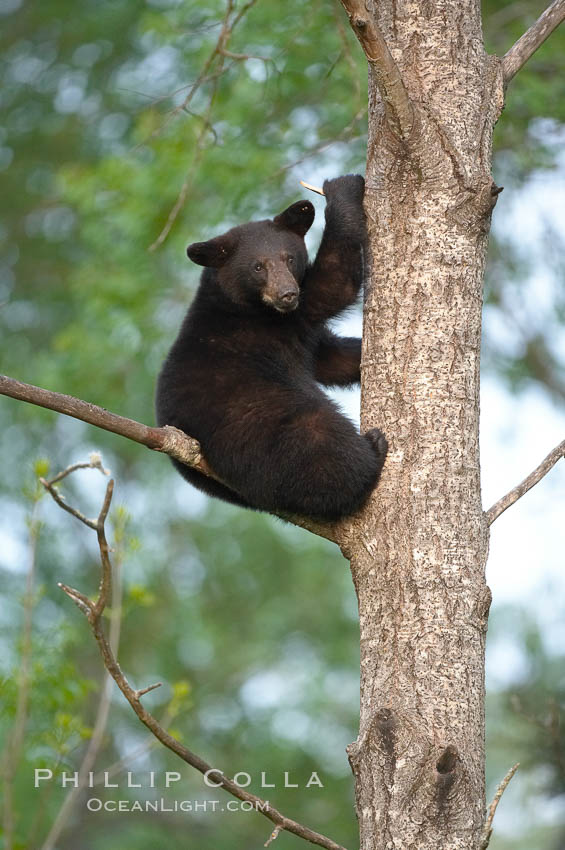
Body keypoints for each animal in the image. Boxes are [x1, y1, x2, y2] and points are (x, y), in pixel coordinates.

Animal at [159, 176, 388, 520]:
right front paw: (343, 188)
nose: (287, 294)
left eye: (288, 258)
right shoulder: (278, 323)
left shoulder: (296, 331)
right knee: (323, 448)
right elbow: (334, 284)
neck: (242, 304)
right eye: (258, 267)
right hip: (268, 430)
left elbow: (330, 358)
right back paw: (372, 452)